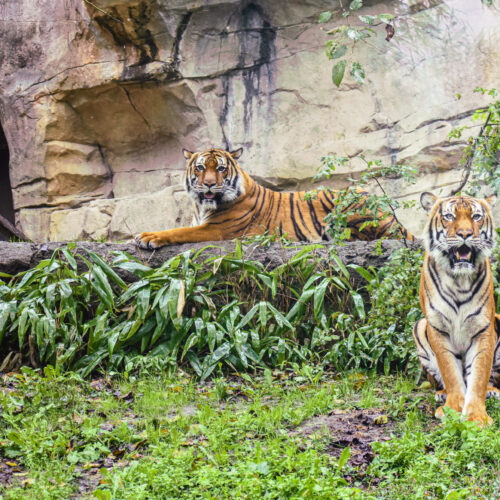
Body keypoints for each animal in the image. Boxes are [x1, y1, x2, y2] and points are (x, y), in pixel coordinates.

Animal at [134, 146, 414, 249]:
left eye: (221, 168)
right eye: (201, 168)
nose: (210, 184)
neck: (202, 207)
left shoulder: (218, 230)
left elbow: (178, 231)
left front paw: (147, 237)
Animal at [412, 191, 498, 426]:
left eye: (476, 216)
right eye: (449, 216)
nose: (465, 234)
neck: (459, 280)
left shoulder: (483, 328)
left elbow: (479, 375)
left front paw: (476, 417)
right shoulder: (437, 327)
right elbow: (450, 370)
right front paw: (452, 408)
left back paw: (492, 391)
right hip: (419, 326)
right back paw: (441, 394)